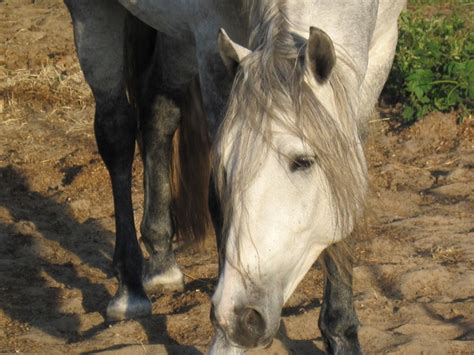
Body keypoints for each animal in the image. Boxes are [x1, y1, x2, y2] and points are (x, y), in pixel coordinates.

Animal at [65, 1, 406, 354]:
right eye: (224, 167)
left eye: (303, 161)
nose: (242, 317)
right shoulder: (211, 47)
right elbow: (217, 206)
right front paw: (224, 340)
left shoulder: (382, 45)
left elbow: (347, 189)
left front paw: (341, 334)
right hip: (93, 16)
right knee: (116, 133)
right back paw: (129, 289)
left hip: (176, 39)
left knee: (158, 113)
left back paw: (161, 261)